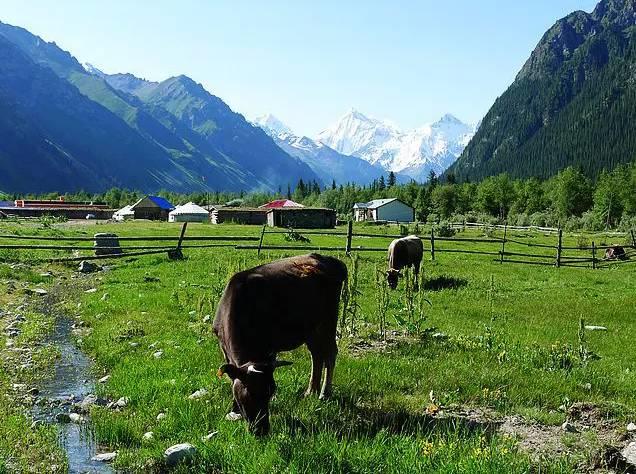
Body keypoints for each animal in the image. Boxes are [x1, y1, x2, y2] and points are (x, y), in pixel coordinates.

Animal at [212, 254, 348, 436]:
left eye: (270, 392)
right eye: (248, 395)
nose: (262, 430)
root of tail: (330, 259)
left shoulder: (268, 348)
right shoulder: (224, 348)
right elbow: (232, 376)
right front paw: (235, 410)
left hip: (328, 321)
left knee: (330, 354)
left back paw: (324, 393)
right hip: (311, 328)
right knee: (317, 355)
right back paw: (311, 391)